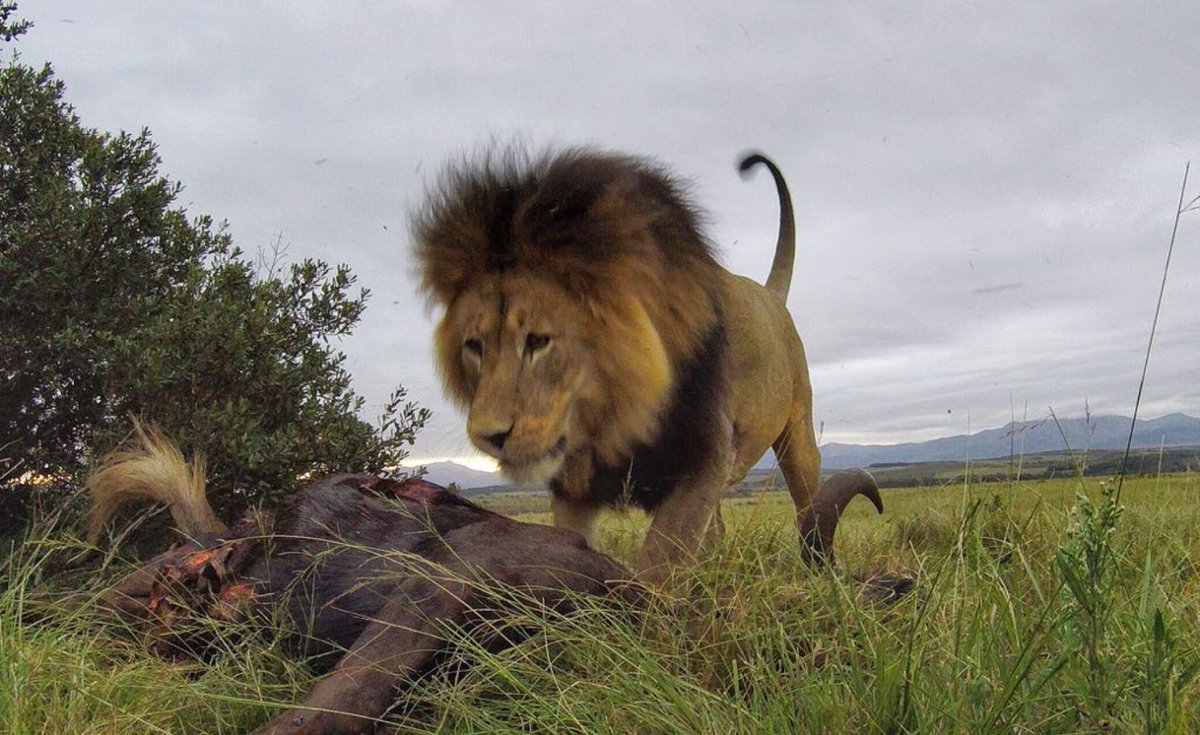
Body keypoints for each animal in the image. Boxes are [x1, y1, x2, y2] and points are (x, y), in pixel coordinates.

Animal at [412, 148, 880, 581]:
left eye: (539, 341)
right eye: (474, 346)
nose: (489, 436)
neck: (609, 417)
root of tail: (769, 295)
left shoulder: (700, 461)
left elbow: (659, 563)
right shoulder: (573, 488)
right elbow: (572, 545)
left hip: (797, 435)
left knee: (808, 505)